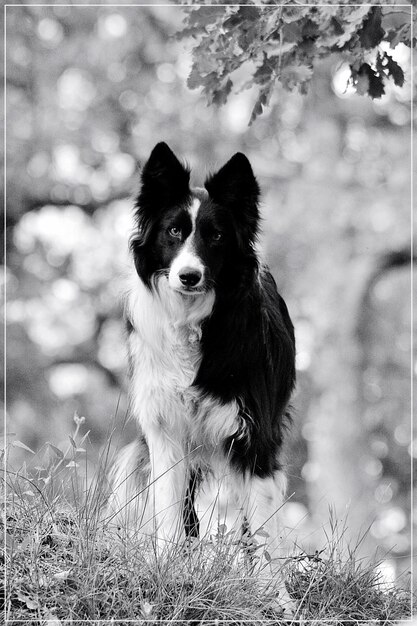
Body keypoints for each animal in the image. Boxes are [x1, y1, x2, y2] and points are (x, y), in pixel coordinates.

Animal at [108, 143, 296, 564]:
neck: (192, 320)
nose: (189, 277)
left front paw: (270, 585)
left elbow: (263, 531)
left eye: (217, 236)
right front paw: (166, 566)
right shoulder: (165, 428)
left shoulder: (253, 435)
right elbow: (169, 512)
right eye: (174, 231)